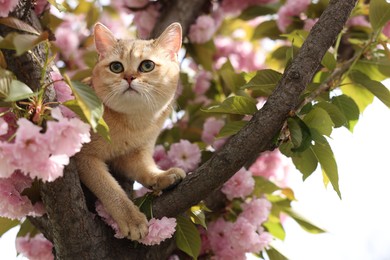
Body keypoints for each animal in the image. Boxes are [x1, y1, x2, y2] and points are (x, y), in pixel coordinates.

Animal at [75, 22, 187, 242]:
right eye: (116, 67)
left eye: (147, 65)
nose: (129, 77)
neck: (132, 125)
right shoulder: (84, 157)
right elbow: (111, 190)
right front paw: (131, 219)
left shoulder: (134, 154)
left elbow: (145, 170)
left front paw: (162, 176)